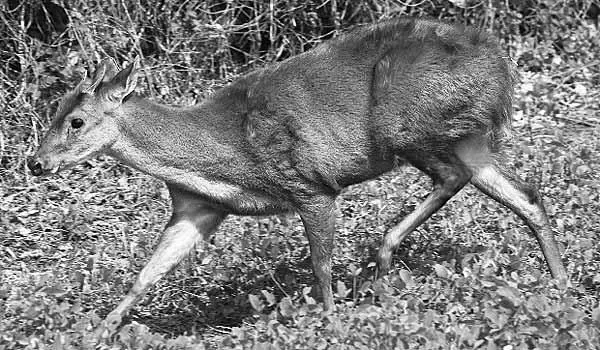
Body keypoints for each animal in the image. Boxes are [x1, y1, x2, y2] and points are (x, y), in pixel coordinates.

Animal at [27, 17, 568, 330]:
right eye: (55, 111)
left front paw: (330, 323)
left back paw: (384, 261)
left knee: (452, 179)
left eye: (76, 121)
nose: (36, 162)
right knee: (525, 193)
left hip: (409, 121)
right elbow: (146, 273)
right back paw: (560, 283)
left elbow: (320, 264)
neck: (220, 152)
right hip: (464, 136)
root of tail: (500, 65)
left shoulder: (310, 185)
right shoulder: (197, 207)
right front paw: (97, 332)